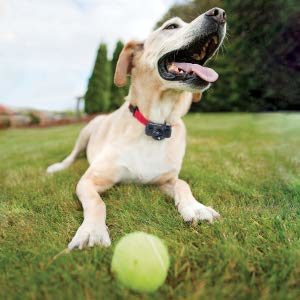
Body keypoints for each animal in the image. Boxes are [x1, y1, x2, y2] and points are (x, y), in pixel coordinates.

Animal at [47, 7, 226, 251]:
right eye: (171, 26)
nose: (220, 14)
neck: (155, 124)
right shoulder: (89, 181)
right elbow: (97, 203)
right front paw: (92, 231)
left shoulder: (165, 180)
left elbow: (183, 183)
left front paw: (195, 208)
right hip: (85, 132)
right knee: (73, 155)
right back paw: (58, 166)